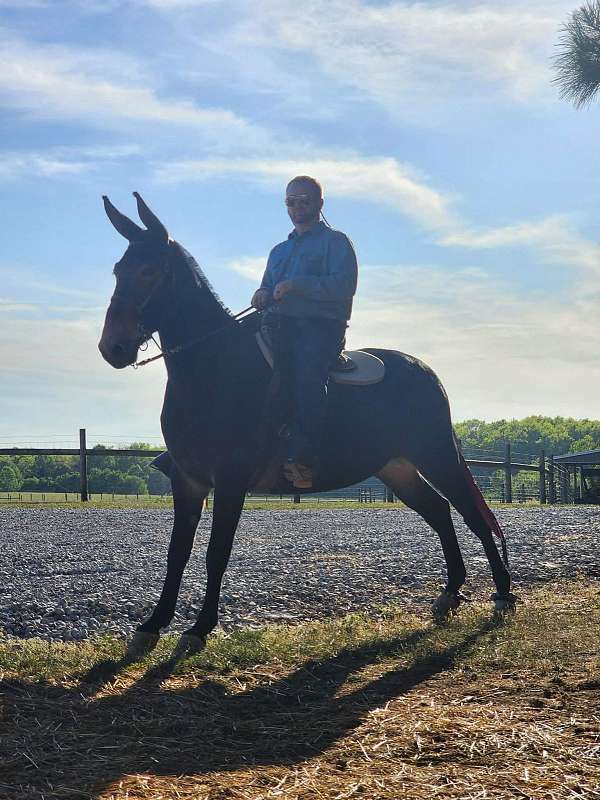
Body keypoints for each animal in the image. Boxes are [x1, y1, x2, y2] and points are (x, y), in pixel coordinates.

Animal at [98, 192, 514, 656]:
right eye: (118, 270)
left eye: (149, 271)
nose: (112, 347)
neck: (215, 369)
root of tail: (426, 372)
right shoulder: (188, 480)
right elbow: (177, 553)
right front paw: (152, 625)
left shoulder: (230, 480)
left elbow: (215, 552)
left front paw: (199, 628)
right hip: (397, 468)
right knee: (440, 512)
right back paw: (450, 592)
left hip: (437, 454)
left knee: (473, 514)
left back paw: (502, 593)